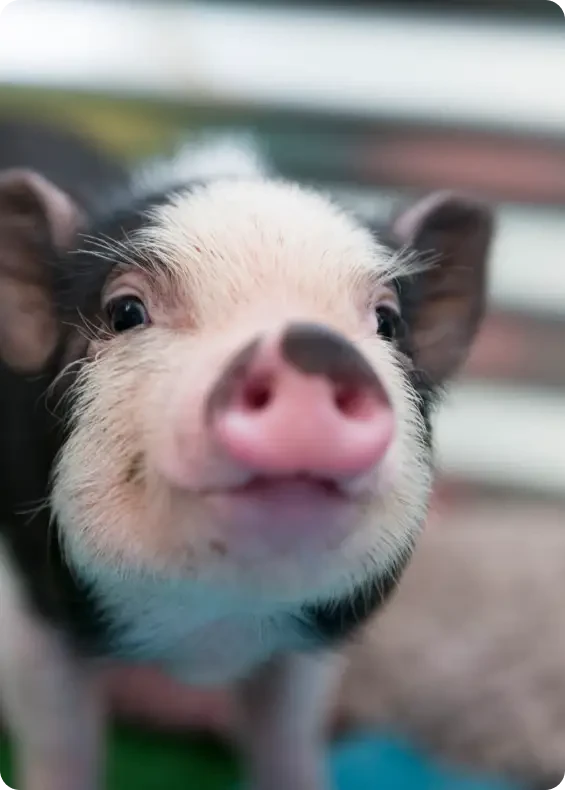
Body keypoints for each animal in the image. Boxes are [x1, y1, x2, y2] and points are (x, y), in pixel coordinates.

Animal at [0, 129, 493, 790]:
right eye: (124, 311)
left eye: (388, 323)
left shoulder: (307, 645)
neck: (209, 637)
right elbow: (61, 745)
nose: (311, 348)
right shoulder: (33, 611)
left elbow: (288, 737)